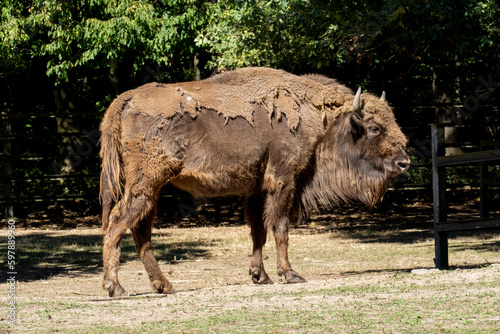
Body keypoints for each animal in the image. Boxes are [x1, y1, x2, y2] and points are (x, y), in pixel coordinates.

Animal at [99, 66, 408, 296]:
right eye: (374, 128)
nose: (404, 162)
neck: (315, 113)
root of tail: (124, 100)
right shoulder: (283, 179)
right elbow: (280, 227)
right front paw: (290, 274)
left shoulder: (256, 188)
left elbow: (258, 230)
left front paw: (261, 276)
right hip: (146, 184)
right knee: (118, 223)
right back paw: (116, 287)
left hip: (151, 189)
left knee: (140, 231)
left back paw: (164, 285)